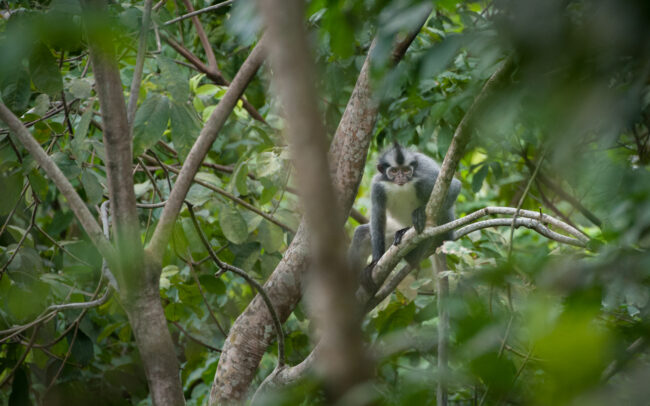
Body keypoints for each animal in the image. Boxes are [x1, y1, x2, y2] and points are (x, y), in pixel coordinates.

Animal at [349, 142, 461, 291]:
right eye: (394, 171)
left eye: (406, 170)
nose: (401, 178)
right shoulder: (377, 185)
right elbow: (378, 214)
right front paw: (374, 262)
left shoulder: (424, 179)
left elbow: (455, 186)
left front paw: (420, 213)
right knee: (362, 233)